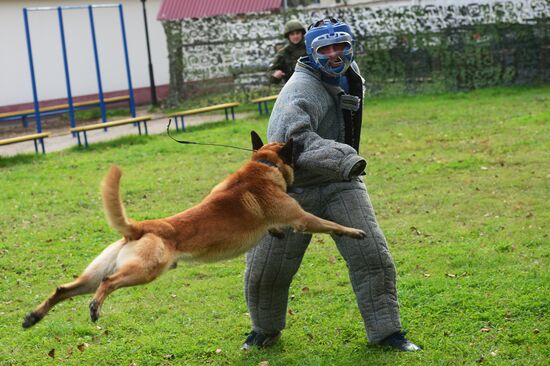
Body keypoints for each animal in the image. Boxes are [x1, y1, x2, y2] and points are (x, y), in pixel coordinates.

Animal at [22, 132, 366, 328]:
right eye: (295, 151)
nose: (304, 143)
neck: (262, 166)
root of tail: (141, 227)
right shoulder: (302, 218)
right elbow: (330, 224)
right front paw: (353, 232)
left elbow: (277, 230)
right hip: (145, 270)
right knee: (108, 283)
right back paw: (94, 307)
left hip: (96, 272)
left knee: (63, 289)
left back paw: (33, 317)